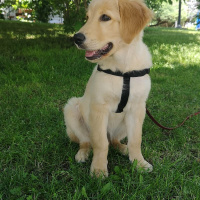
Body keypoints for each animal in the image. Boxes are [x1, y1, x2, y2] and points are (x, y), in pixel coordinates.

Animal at [64, 0, 153, 177]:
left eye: (105, 17)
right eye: (87, 17)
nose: (76, 38)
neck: (123, 67)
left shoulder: (138, 108)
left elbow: (135, 140)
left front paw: (139, 163)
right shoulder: (99, 108)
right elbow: (100, 143)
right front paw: (99, 169)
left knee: (113, 140)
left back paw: (123, 148)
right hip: (71, 109)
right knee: (87, 141)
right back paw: (83, 154)